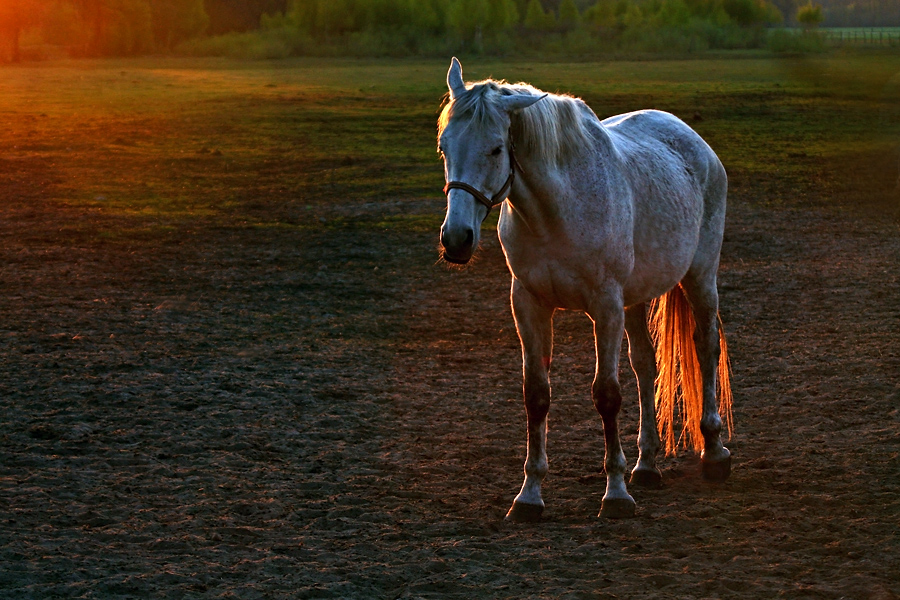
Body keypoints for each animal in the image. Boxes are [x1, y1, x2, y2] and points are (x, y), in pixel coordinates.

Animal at [440, 59, 736, 520]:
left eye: (496, 149)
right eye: (444, 148)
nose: (456, 239)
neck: (554, 212)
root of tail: (692, 139)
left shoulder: (605, 305)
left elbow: (607, 395)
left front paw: (615, 494)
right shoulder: (528, 304)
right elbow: (536, 394)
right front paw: (529, 496)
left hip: (699, 277)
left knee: (705, 347)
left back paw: (715, 452)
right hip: (635, 298)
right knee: (645, 365)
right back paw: (646, 465)